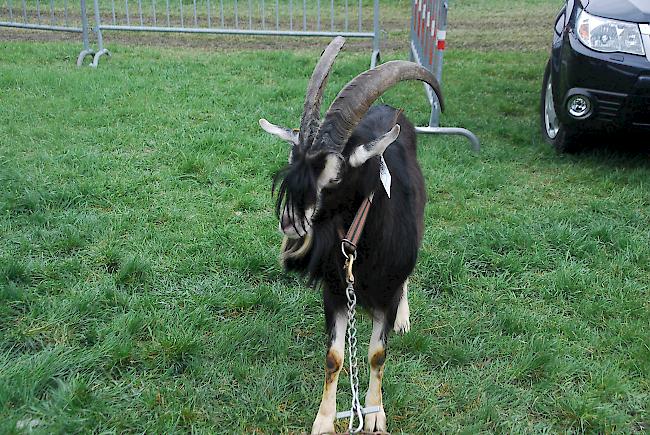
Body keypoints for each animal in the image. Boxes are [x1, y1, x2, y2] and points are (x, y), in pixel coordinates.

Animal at [258, 35, 440, 434]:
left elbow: (376, 355)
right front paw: (324, 420)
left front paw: (374, 415)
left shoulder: (386, 293)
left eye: (335, 177)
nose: (290, 224)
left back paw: (404, 319)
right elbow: (335, 357)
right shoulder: (336, 292)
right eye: (293, 163)